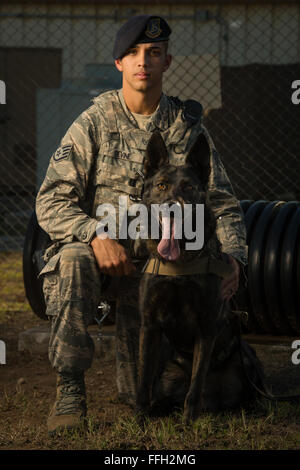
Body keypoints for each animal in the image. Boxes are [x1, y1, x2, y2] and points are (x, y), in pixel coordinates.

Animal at [137, 131, 264, 422]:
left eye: (189, 188)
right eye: (161, 185)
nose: (172, 208)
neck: (180, 262)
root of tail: (213, 402)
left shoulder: (206, 326)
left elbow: (194, 385)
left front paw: (187, 421)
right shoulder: (149, 325)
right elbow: (144, 378)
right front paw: (140, 416)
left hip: (247, 356)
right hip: (168, 374)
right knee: (163, 389)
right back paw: (158, 407)